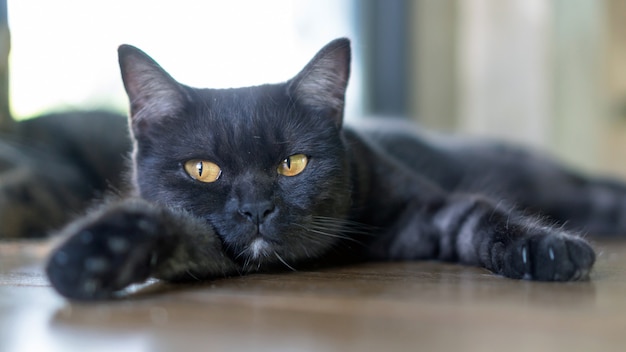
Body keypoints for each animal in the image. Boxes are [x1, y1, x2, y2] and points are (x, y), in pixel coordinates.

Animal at [48, 38, 608, 302]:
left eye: (292, 163)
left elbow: (482, 218)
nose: (256, 209)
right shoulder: (215, 246)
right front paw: (91, 254)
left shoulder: (426, 207)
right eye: (201, 169)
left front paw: (547, 250)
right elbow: (174, 231)